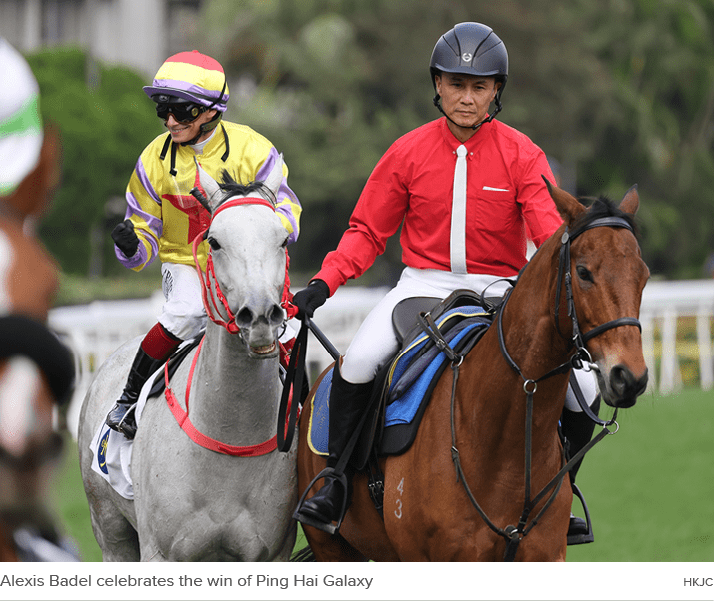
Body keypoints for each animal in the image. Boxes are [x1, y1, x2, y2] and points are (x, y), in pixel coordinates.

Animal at [78, 159, 298, 564]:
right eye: (215, 240)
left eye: (282, 239)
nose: (260, 316)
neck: (230, 439)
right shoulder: (159, 553)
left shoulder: (272, 553)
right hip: (109, 530)